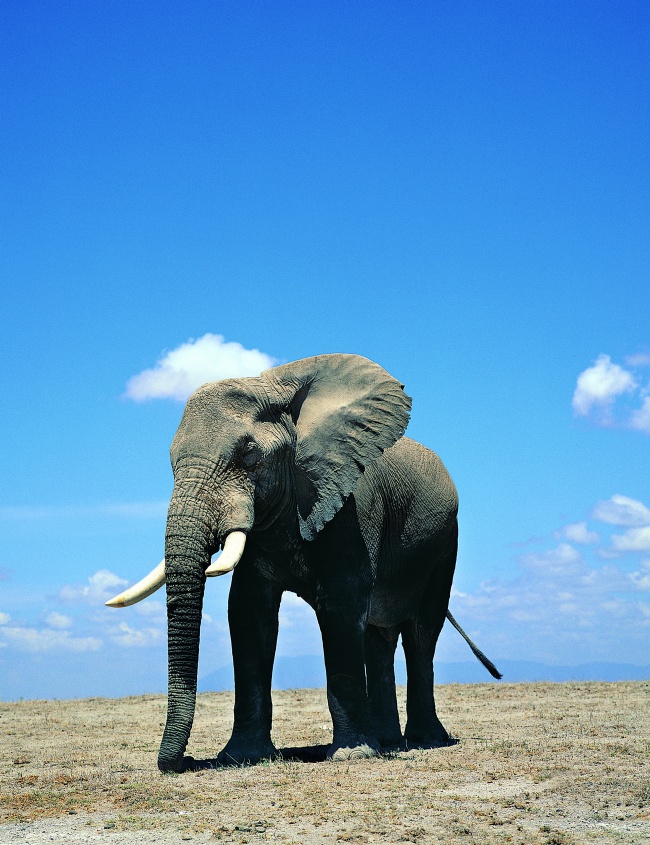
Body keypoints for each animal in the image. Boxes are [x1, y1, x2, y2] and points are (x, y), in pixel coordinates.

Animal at [107, 353, 500, 772]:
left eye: (248, 454)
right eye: (170, 461)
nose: (182, 761)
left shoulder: (350, 506)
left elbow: (341, 607)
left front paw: (352, 755)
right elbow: (248, 612)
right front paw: (241, 757)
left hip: (443, 543)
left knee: (422, 632)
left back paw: (423, 740)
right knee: (377, 637)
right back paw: (389, 741)